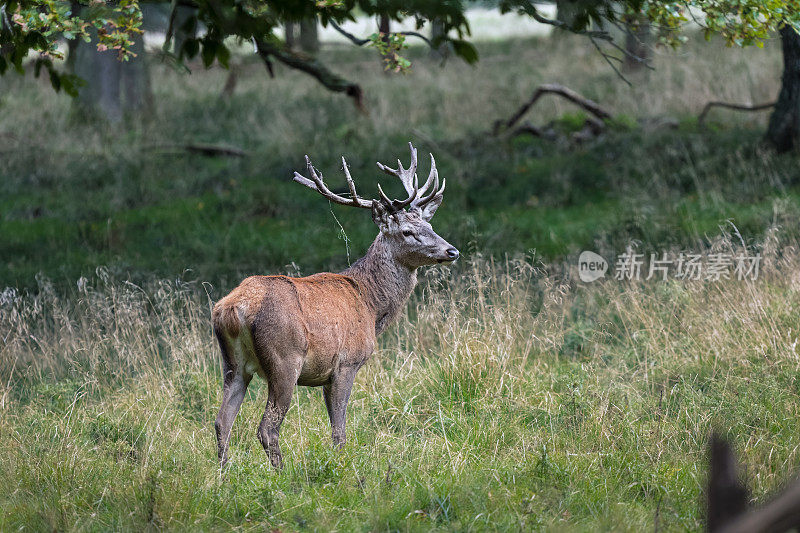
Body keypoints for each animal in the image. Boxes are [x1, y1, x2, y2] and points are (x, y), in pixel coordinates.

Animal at [209, 142, 460, 470]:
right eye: (407, 231)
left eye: (429, 224)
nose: (451, 250)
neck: (370, 304)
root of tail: (232, 309)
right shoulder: (346, 363)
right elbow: (339, 430)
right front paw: (343, 467)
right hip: (284, 360)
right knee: (267, 428)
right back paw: (281, 474)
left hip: (233, 364)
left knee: (222, 420)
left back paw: (224, 473)